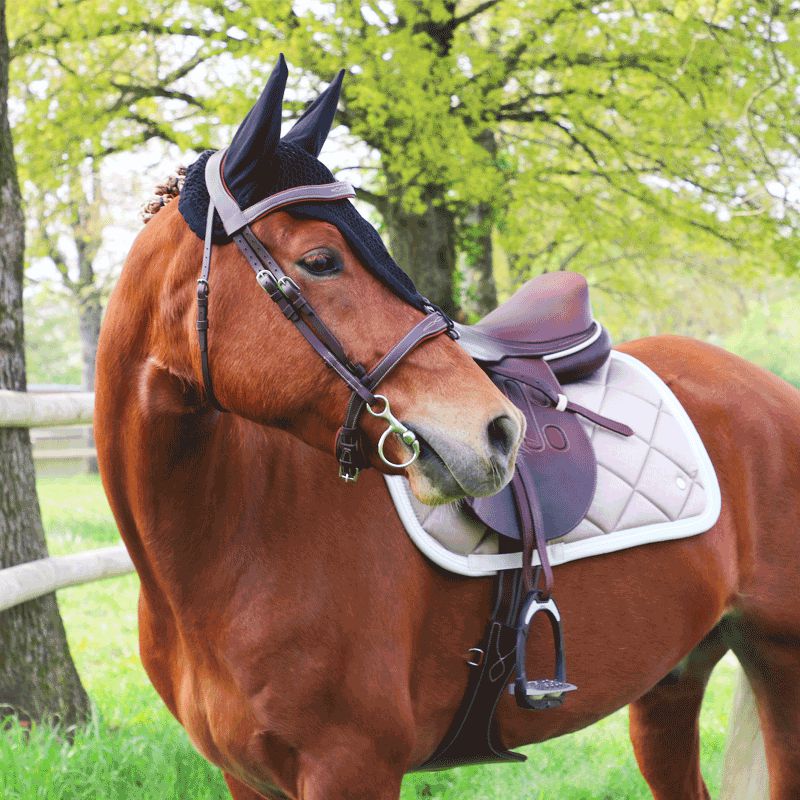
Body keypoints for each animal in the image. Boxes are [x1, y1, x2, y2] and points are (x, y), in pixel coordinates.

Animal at [95, 61, 800, 800]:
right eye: (321, 260)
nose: (499, 431)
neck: (229, 550)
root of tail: (768, 389)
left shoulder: (352, 767)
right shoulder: (246, 777)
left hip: (782, 663)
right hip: (673, 678)